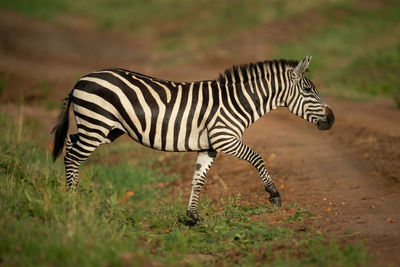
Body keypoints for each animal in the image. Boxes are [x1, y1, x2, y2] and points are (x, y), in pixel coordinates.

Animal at [53, 56, 334, 224]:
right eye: (308, 90)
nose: (331, 120)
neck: (237, 102)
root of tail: (81, 80)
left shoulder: (209, 147)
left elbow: (198, 180)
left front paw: (193, 217)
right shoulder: (225, 139)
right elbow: (257, 158)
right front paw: (274, 194)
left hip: (104, 128)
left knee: (70, 144)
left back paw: (73, 198)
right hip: (96, 123)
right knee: (72, 156)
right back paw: (71, 203)